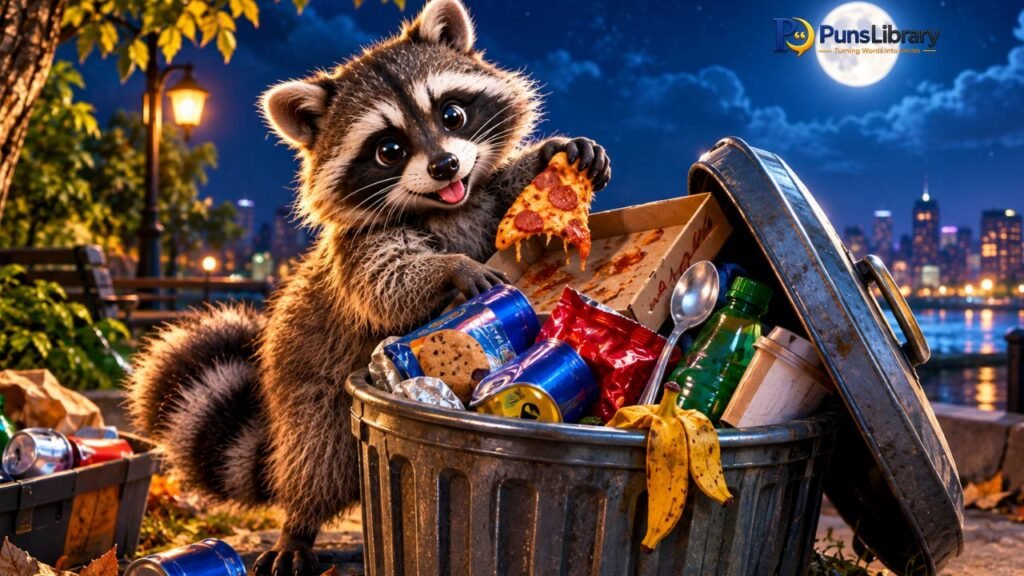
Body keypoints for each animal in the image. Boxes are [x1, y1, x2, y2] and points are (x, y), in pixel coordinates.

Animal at [126, 1, 610, 574]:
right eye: (389, 150)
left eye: (452, 115)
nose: (446, 165)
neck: (444, 206)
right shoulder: (358, 246)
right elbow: (384, 282)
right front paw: (447, 268)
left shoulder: (482, 201)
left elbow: (507, 205)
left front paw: (544, 157)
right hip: (310, 394)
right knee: (316, 459)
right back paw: (297, 525)